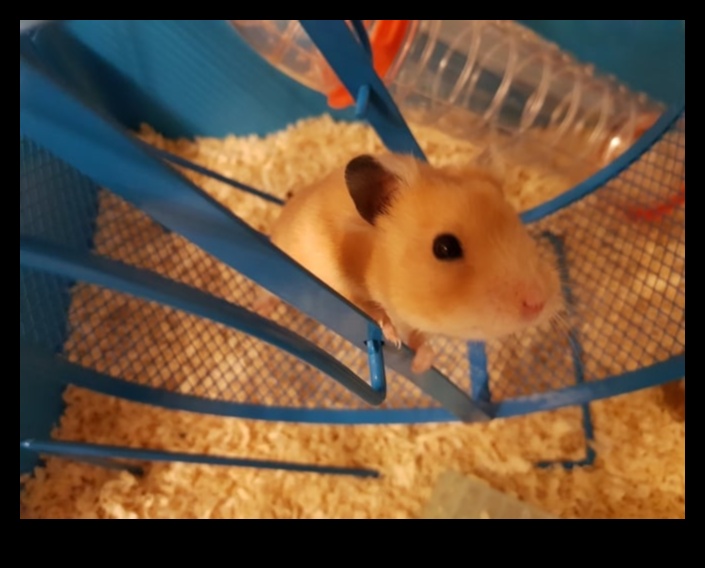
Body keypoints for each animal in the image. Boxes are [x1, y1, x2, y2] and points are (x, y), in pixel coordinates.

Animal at [253, 153, 563, 374]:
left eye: (519, 227)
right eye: (445, 247)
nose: (538, 303)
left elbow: (418, 337)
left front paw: (421, 364)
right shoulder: (340, 283)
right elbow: (372, 310)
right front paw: (392, 337)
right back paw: (264, 310)